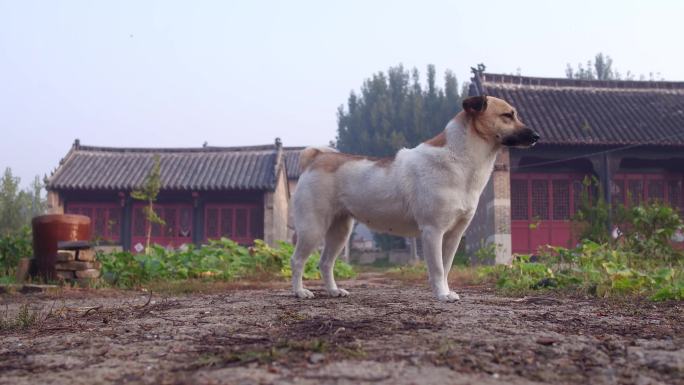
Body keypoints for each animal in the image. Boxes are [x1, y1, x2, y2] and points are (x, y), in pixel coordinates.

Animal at [292, 95, 536, 300]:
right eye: (507, 115)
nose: (537, 136)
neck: (459, 159)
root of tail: (317, 159)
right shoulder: (433, 231)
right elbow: (437, 268)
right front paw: (442, 295)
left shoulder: (454, 235)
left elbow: (446, 267)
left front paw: (446, 291)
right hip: (313, 229)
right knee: (297, 260)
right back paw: (300, 292)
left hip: (340, 232)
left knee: (325, 263)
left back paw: (334, 291)